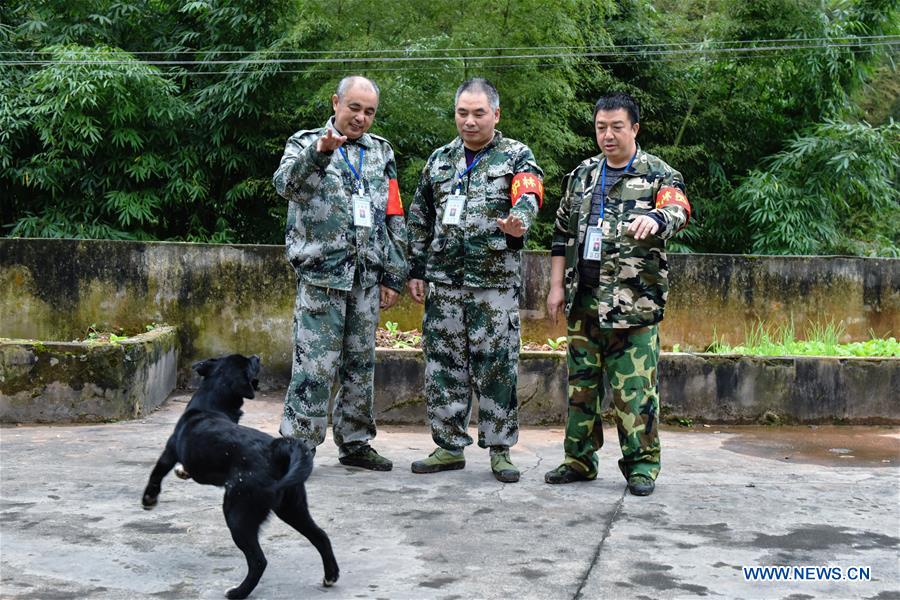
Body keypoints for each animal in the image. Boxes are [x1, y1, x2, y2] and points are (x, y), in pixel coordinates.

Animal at [142, 354, 340, 596]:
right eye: (249, 362)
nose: (257, 356)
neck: (211, 405)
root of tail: (276, 449)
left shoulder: (170, 451)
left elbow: (156, 473)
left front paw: (149, 499)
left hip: (238, 513)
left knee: (258, 560)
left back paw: (238, 592)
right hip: (292, 508)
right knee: (321, 536)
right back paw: (330, 576)